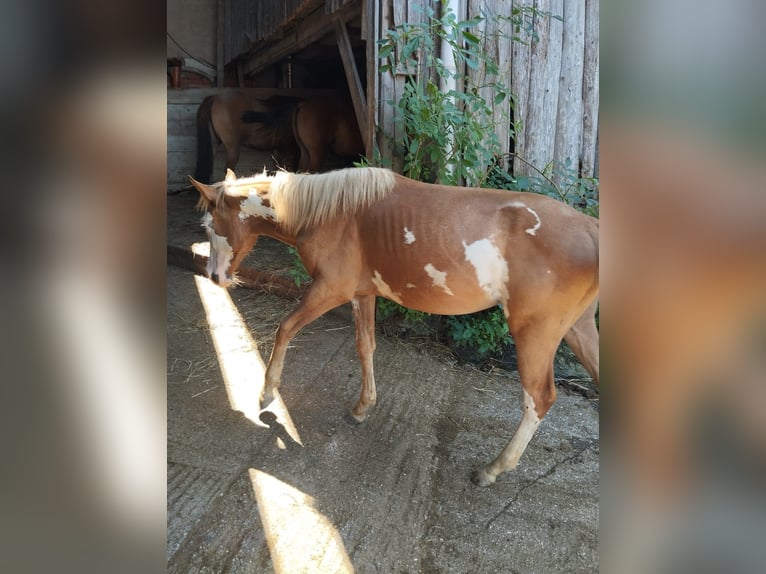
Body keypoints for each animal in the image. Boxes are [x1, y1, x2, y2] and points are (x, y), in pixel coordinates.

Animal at [190, 165, 600, 486]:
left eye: (210, 225)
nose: (214, 276)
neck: (330, 214)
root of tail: (591, 229)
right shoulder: (362, 294)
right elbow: (365, 347)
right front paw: (362, 407)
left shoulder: (330, 291)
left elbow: (285, 328)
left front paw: (267, 392)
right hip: (579, 331)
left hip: (535, 334)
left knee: (539, 399)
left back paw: (494, 468)